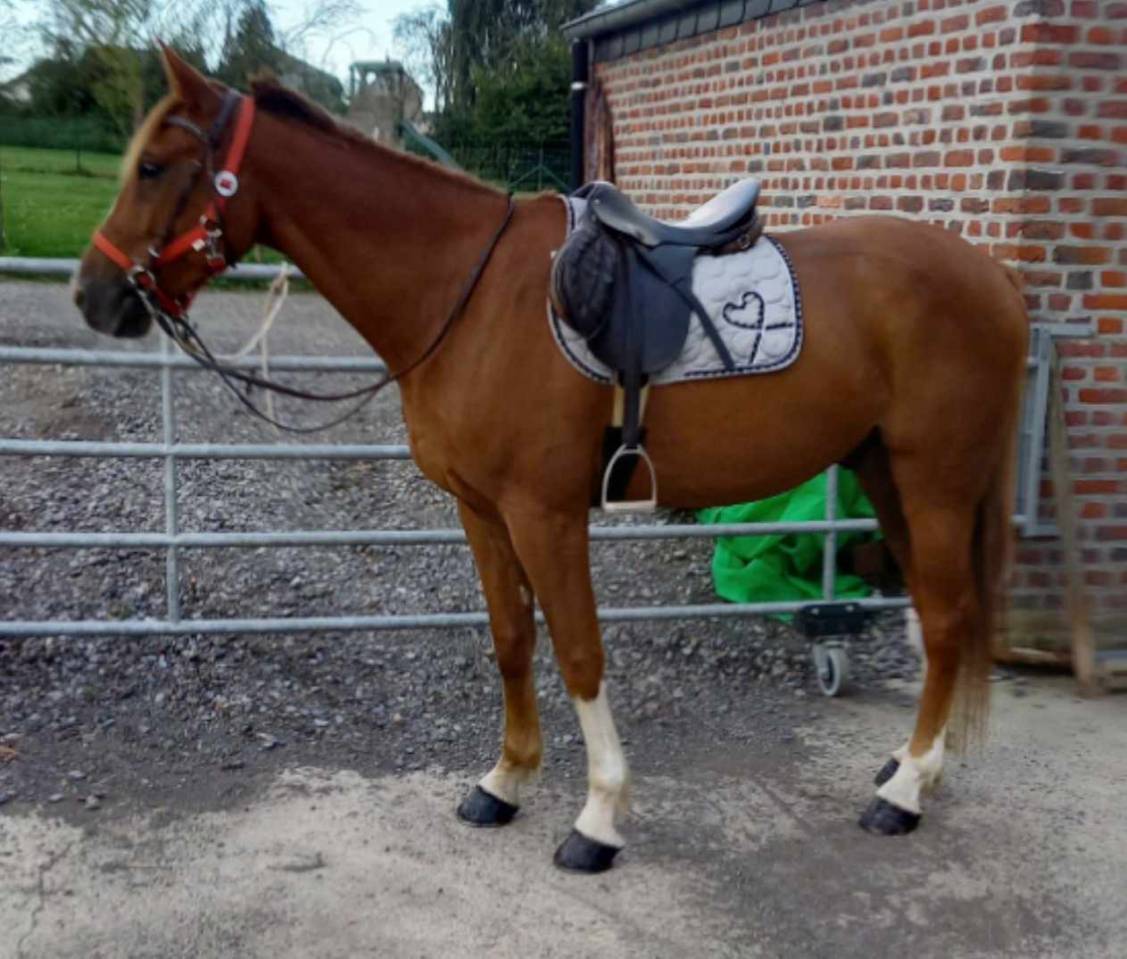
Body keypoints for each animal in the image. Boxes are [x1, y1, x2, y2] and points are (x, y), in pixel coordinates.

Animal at [74, 47, 1028, 873]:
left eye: (155, 167)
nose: (94, 295)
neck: (467, 291)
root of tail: (994, 276)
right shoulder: (480, 510)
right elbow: (511, 639)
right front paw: (504, 780)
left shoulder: (546, 512)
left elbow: (578, 650)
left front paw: (597, 817)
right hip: (883, 472)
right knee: (935, 619)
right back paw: (911, 767)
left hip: (934, 481)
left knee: (947, 620)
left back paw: (903, 793)